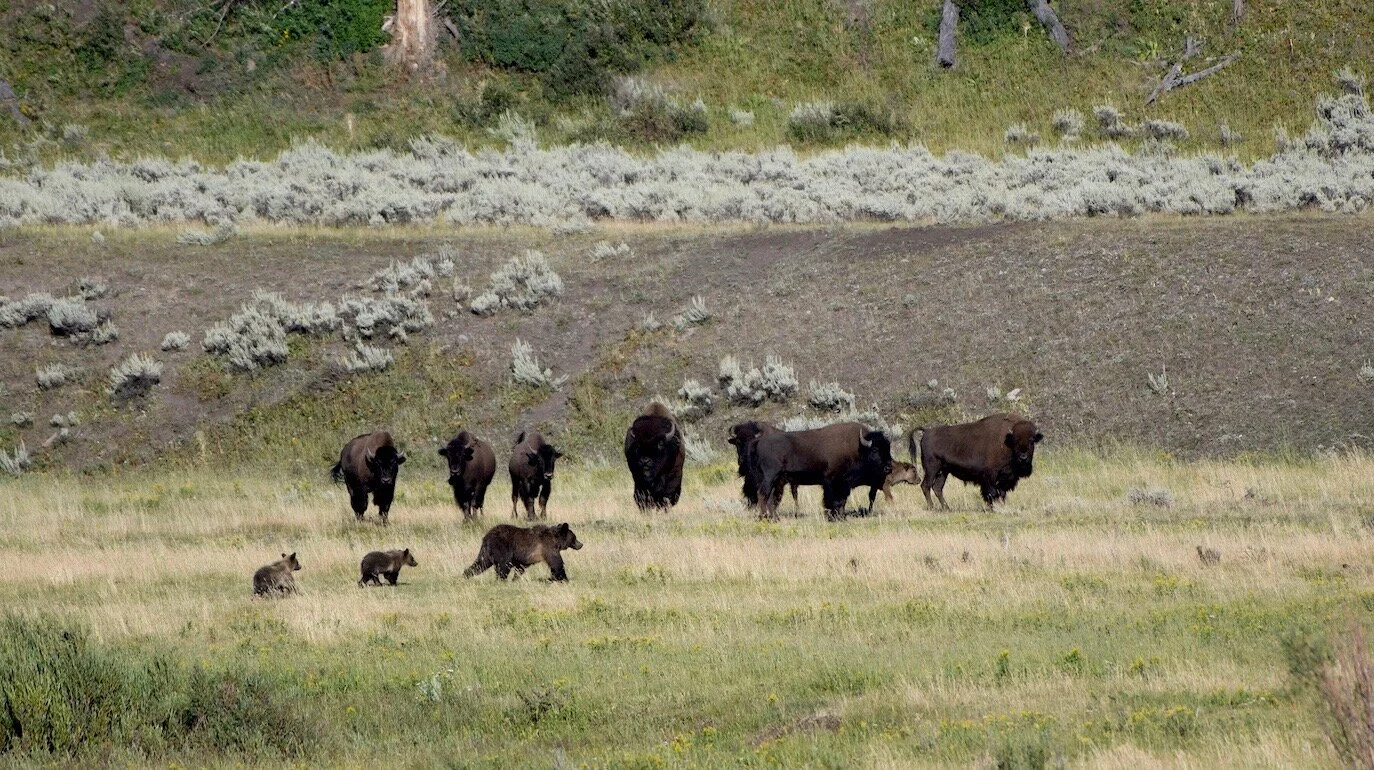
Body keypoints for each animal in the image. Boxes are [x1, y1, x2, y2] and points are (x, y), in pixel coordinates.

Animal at [751, 422, 893, 520]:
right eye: (875, 450)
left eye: (888, 448)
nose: (889, 467)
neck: (858, 448)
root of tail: (760, 442)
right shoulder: (832, 482)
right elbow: (833, 500)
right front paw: (835, 517)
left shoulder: (844, 485)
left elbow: (842, 500)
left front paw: (841, 517)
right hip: (770, 477)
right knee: (763, 495)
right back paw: (765, 518)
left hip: (777, 480)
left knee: (771, 498)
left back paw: (774, 518)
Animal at [909, 413, 1043, 510]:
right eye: (1015, 440)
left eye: (1032, 441)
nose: (1023, 458)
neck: (1006, 442)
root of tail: (927, 431)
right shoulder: (990, 476)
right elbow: (992, 493)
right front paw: (992, 508)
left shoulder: (1006, 478)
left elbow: (1002, 493)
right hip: (932, 468)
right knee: (926, 485)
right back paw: (932, 507)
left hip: (943, 471)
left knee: (937, 488)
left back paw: (947, 508)